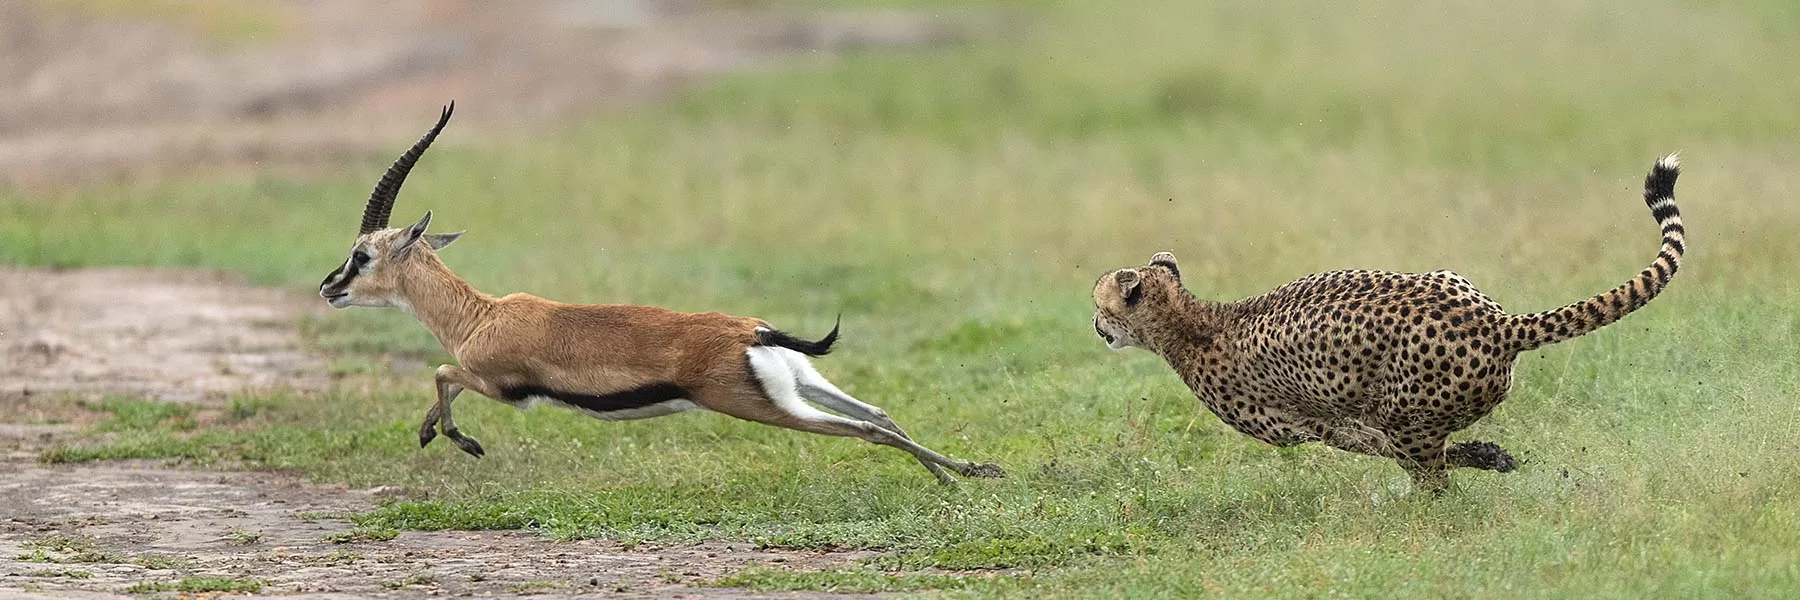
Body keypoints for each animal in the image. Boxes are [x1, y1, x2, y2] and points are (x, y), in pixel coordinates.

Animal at [1091, 155, 1685, 493]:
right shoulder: (1332, 418)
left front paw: (1480, 457)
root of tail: (1498, 322)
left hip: (1406, 410)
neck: (1191, 321)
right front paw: (1489, 454)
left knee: (1430, 475)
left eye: (1100, 307)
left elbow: (1376, 447)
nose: (1095, 327)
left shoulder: (1303, 426)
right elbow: (1378, 444)